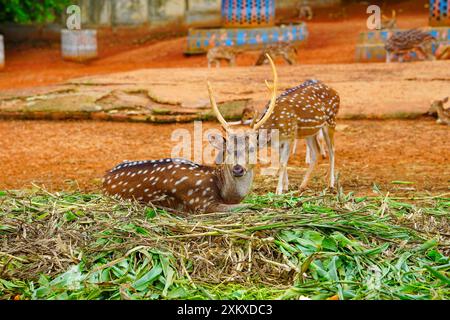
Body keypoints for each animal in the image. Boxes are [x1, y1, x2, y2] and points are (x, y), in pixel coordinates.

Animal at [103, 54, 280, 212]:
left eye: (252, 148)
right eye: (227, 149)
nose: (237, 169)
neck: (223, 192)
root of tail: (104, 178)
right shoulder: (201, 202)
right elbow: (250, 206)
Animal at [209, 59, 340, 195]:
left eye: (251, 149)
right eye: (228, 150)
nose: (237, 170)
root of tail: (335, 91)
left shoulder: (289, 136)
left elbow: (282, 163)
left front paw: (279, 190)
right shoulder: (278, 143)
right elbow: (283, 162)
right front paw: (286, 186)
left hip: (331, 120)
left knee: (332, 150)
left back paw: (331, 184)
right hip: (310, 132)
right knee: (315, 152)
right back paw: (302, 186)